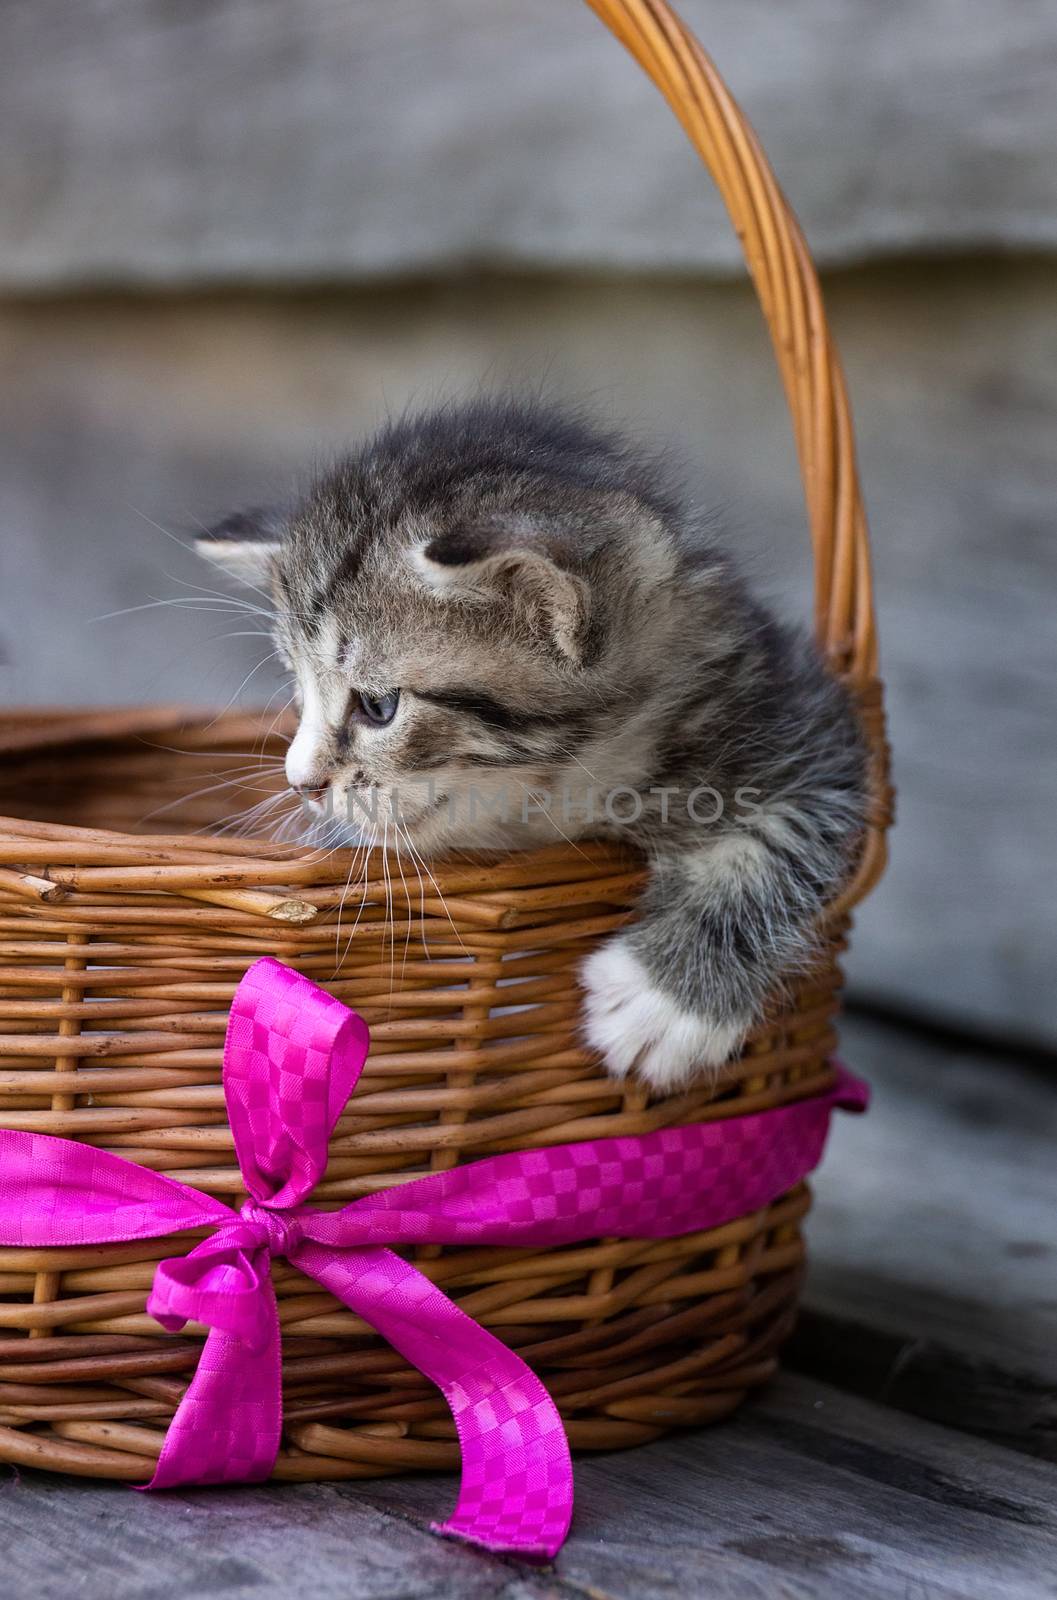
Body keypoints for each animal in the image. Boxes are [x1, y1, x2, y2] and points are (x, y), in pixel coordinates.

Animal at [198, 406, 863, 1094]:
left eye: (378, 706)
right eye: (298, 691)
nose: (299, 782)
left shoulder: (805, 718)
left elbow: (784, 833)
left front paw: (663, 1006)